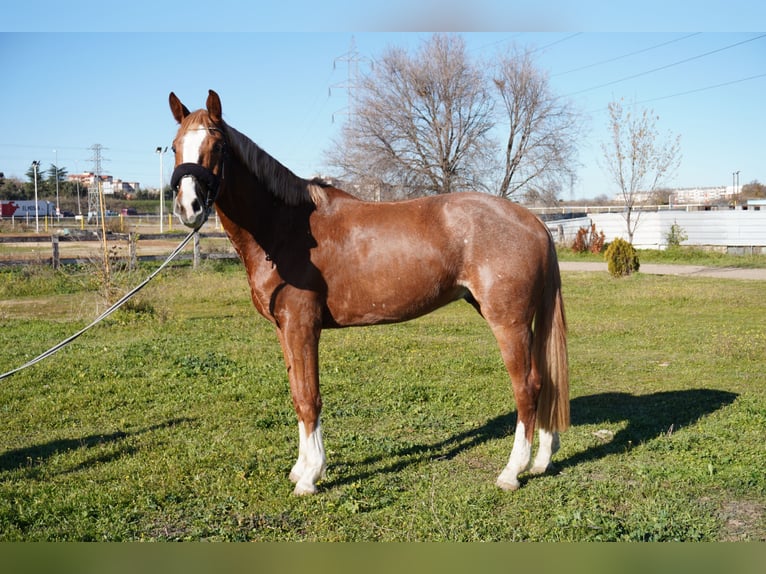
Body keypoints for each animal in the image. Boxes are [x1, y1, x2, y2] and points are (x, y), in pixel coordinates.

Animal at [170, 92, 568, 498]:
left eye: (218, 146)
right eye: (174, 147)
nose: (188, 207)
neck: (285, 228)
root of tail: (535, 222)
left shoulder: (302, 326)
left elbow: (309, 397)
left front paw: (311, 475)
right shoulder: (285, 329)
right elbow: (297, 394)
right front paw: (300, 469)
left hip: (509, 323)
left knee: (528, 387)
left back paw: (512, 472)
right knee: (546, 382)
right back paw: (541, 461)